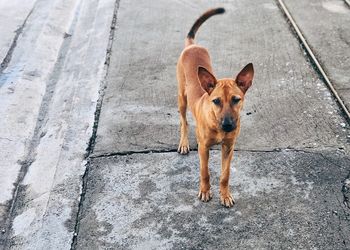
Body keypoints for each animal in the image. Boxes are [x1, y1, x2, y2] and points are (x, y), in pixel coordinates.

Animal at [176, 7, 253, 207]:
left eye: (236, 99)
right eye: (216, 101)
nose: (228, 125)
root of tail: (192, 46)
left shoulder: (229, 148)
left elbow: (225, 174)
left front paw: (225, 195)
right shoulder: (204, 149)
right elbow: (205, 172)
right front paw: (205, 191)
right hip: (181, 97)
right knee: (183, 121)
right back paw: (184, 143)